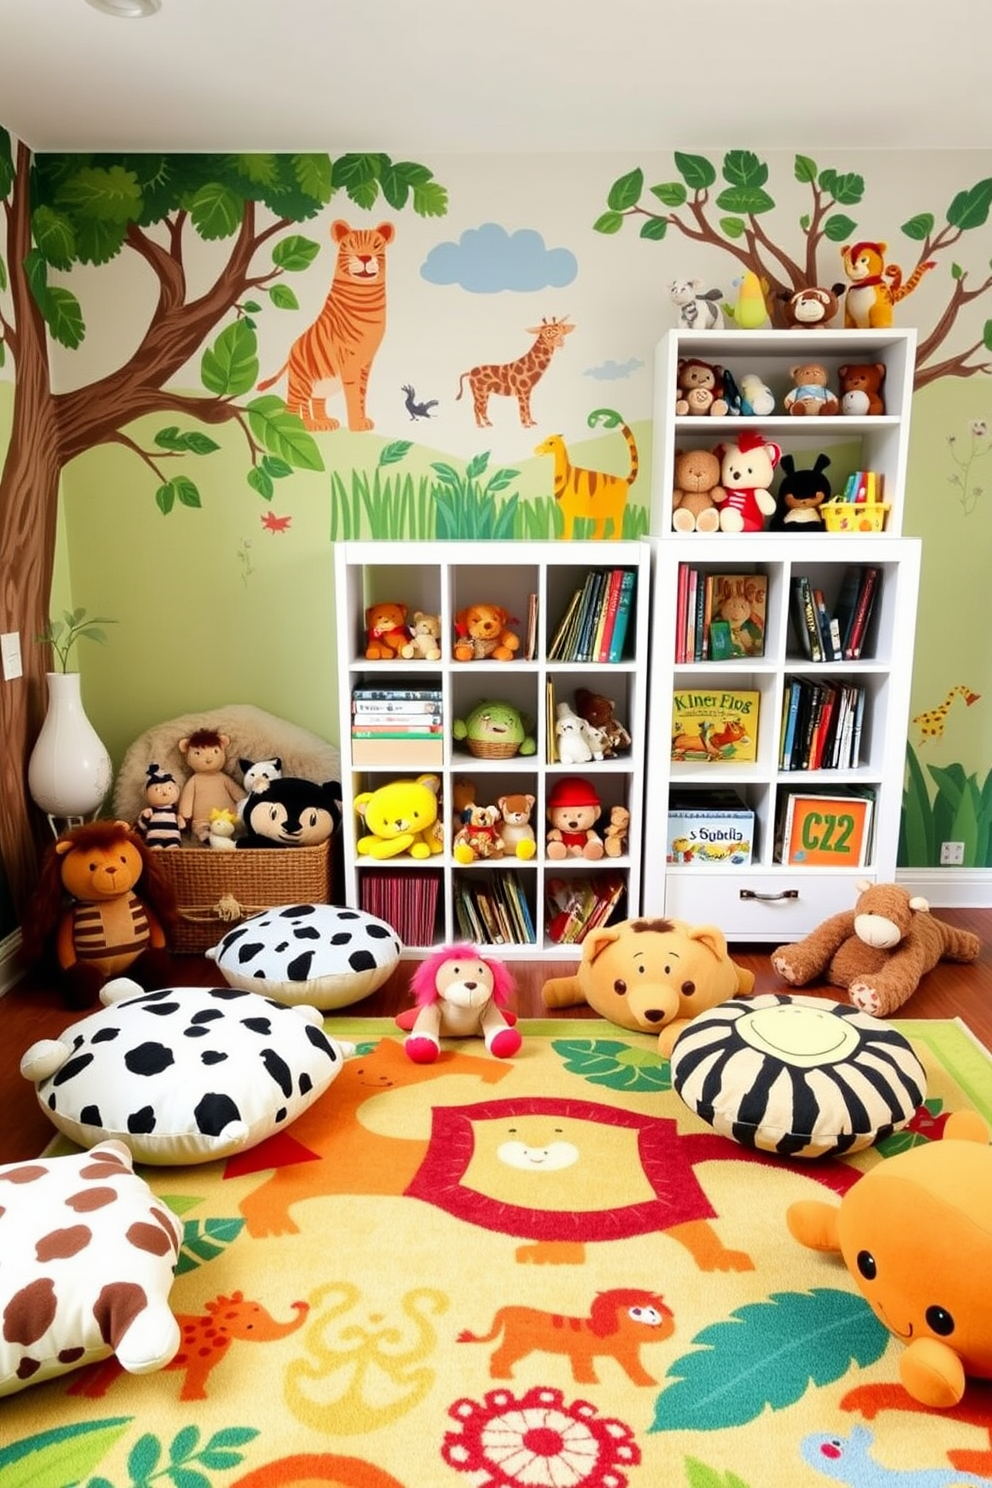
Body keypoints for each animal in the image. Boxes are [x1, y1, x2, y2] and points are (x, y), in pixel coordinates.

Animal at [258, 218, 392, 431]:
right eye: (350, 246)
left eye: (376, 246)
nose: (364, 257)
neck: (366, 299)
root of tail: (290, 352)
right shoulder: (349, 358)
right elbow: (354, 393)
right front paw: (356, 425)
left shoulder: (366, 361)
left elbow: (362, 393)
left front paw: (363, 420)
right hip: (302, 381)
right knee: (298, 402)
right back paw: (303, 425)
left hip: (320, 384)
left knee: (315, 401)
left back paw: (323, 421)